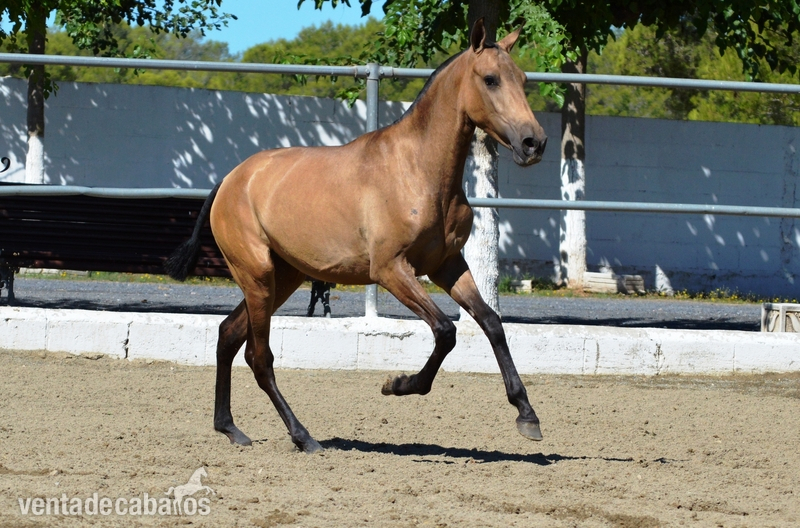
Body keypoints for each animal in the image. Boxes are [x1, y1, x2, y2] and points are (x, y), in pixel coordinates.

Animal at [165, 19, 548, 454]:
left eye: (524, 79)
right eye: (490, 79)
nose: (534, 142)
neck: (418, 171)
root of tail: (231, 180)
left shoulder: (447, 264)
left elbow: (491, 322)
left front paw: (527, 415)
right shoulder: (391, 269)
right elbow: (445, 331)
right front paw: (397, 384)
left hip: (283, 278)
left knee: (228, 335)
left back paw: (230, 428)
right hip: (257, 276)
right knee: (259, 358)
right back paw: (303, 437)